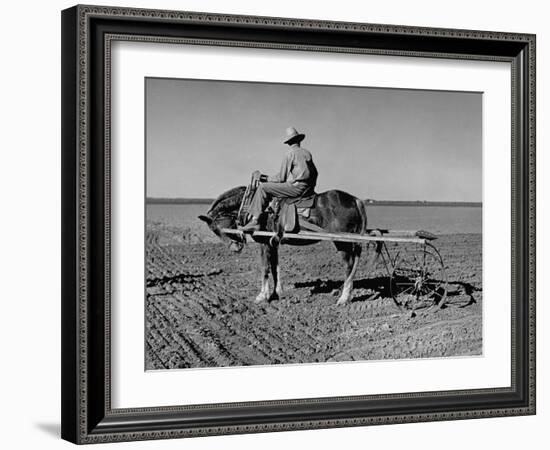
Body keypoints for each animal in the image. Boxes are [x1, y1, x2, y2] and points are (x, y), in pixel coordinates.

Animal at [199, 185, 384, 304]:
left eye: (217, 228)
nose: (235, 248)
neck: (253, 206)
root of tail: (354, 200)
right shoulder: (273, 243)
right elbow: (275, 267)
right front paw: (276, 293)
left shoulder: (264, 243)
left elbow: (265, 268)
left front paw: (262, 296)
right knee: (354, 263)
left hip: (341, 242)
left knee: (349, 265)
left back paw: (344, 297)